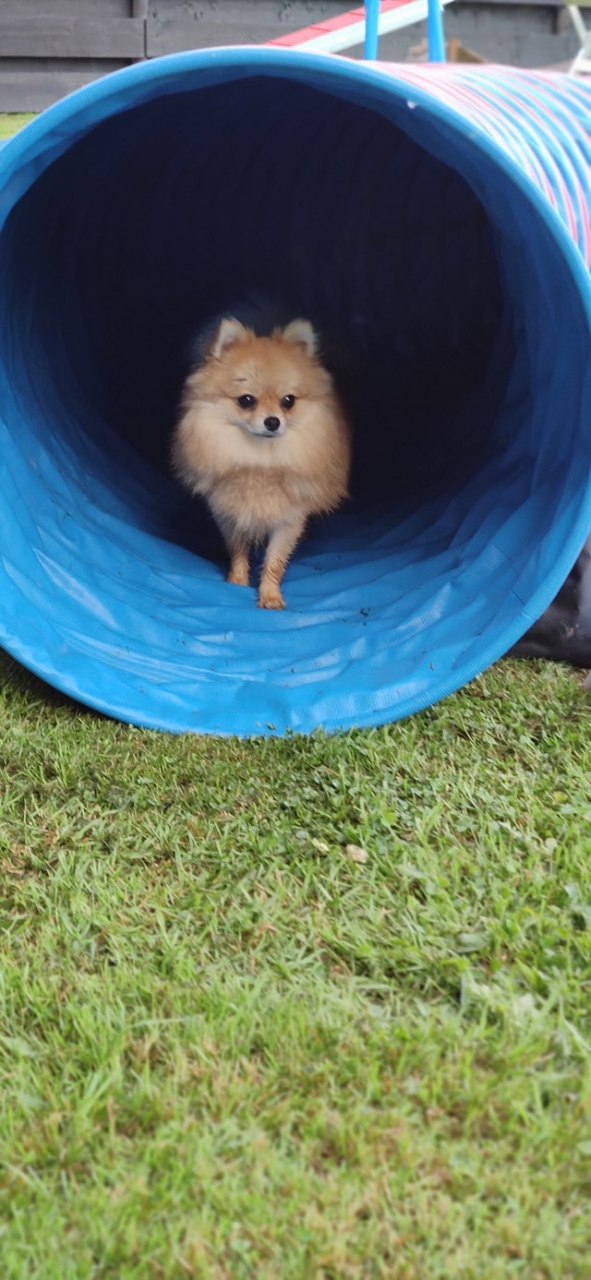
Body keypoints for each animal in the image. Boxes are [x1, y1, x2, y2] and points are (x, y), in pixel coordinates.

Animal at [171, 314, 351, 609]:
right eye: (246, 400)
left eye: (288, 401)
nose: (272, 421)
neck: (260, 461)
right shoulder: (228, 513)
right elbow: (237, 549)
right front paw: (236, 582)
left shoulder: (288, 520)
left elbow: (275, 561)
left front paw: (270, 595)